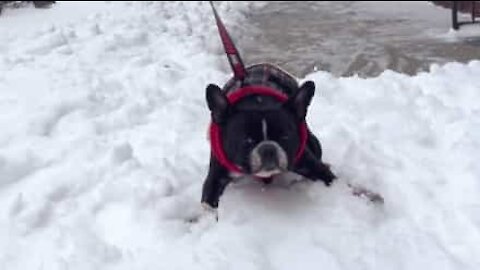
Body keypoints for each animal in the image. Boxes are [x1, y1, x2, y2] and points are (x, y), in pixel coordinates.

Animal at [201, 64, 336, 210]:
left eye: (285, 137)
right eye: (246, 140)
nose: (268, 149)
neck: (258, 101)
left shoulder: (311, 165)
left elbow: (328, 177)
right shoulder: (216, 176)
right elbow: (208, 202)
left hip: (314, 143)